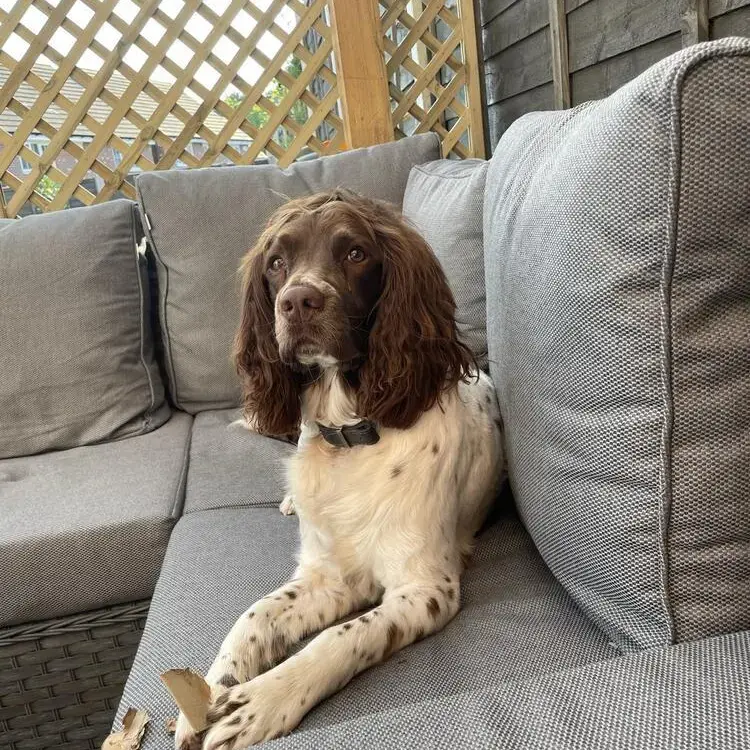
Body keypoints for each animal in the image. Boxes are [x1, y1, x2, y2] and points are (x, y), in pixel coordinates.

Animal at [176, 189, 506, 750]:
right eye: (276, 264)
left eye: (355, 253)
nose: (297, 302)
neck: (349, 435)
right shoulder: (329, 574)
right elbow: (253, 615)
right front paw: (211, 689)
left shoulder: (425, 588)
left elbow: (339, 637)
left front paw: (261, 700)